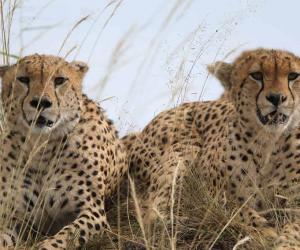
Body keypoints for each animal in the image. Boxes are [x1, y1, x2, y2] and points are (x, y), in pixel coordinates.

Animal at [0, 54, 127, 248]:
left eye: (59, 80)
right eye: (23, 79)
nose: (41, 103)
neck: (41, 147)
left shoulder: (92, 211)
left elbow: (68, 235)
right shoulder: (14, 218)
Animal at [122, 48, 300, 248]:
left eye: (293, 76)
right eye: (256, 75)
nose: (277, 98)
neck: (269, 141)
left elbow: (294, 227)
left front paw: (285, 242)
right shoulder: (214, 190)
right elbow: (236, 209)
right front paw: (264, 232)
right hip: (185, 147)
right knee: (155, 209)